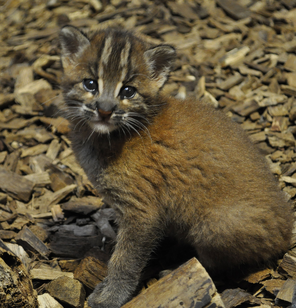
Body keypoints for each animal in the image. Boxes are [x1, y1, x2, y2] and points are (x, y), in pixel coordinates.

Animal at [59, 26, 292, 308]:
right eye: (90, 84)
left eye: (128, 91)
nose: (104, 110)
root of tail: (288, 230)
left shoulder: (141, 211)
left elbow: (125, 259)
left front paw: (111, 296)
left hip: (213, 227)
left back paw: (174, 270)